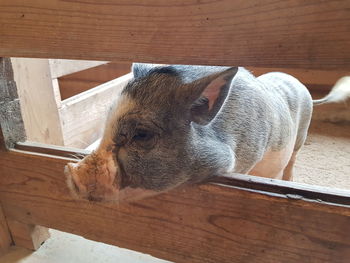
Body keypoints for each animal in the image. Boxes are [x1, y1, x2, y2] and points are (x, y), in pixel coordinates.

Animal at [64, 64, 348, 202]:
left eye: (141, 135)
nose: (69, 173)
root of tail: (295, 79)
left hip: (301, 135)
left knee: (293, 160)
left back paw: (287, 180)